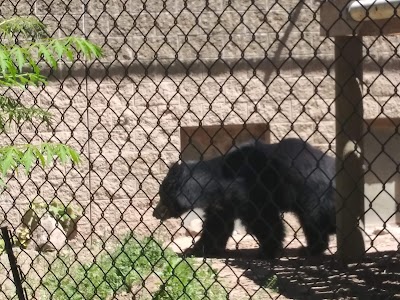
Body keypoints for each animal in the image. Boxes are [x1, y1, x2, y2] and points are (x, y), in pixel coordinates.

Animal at [154, 138, 338, 258]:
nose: (155, 213)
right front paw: (195, 250)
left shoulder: (250, 190)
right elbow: (217, 225)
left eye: (162, 197)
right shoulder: (224, 202)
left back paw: (309, 249)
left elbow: (263, 219)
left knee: (313, 220)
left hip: (314, 194)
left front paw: (267, 250)